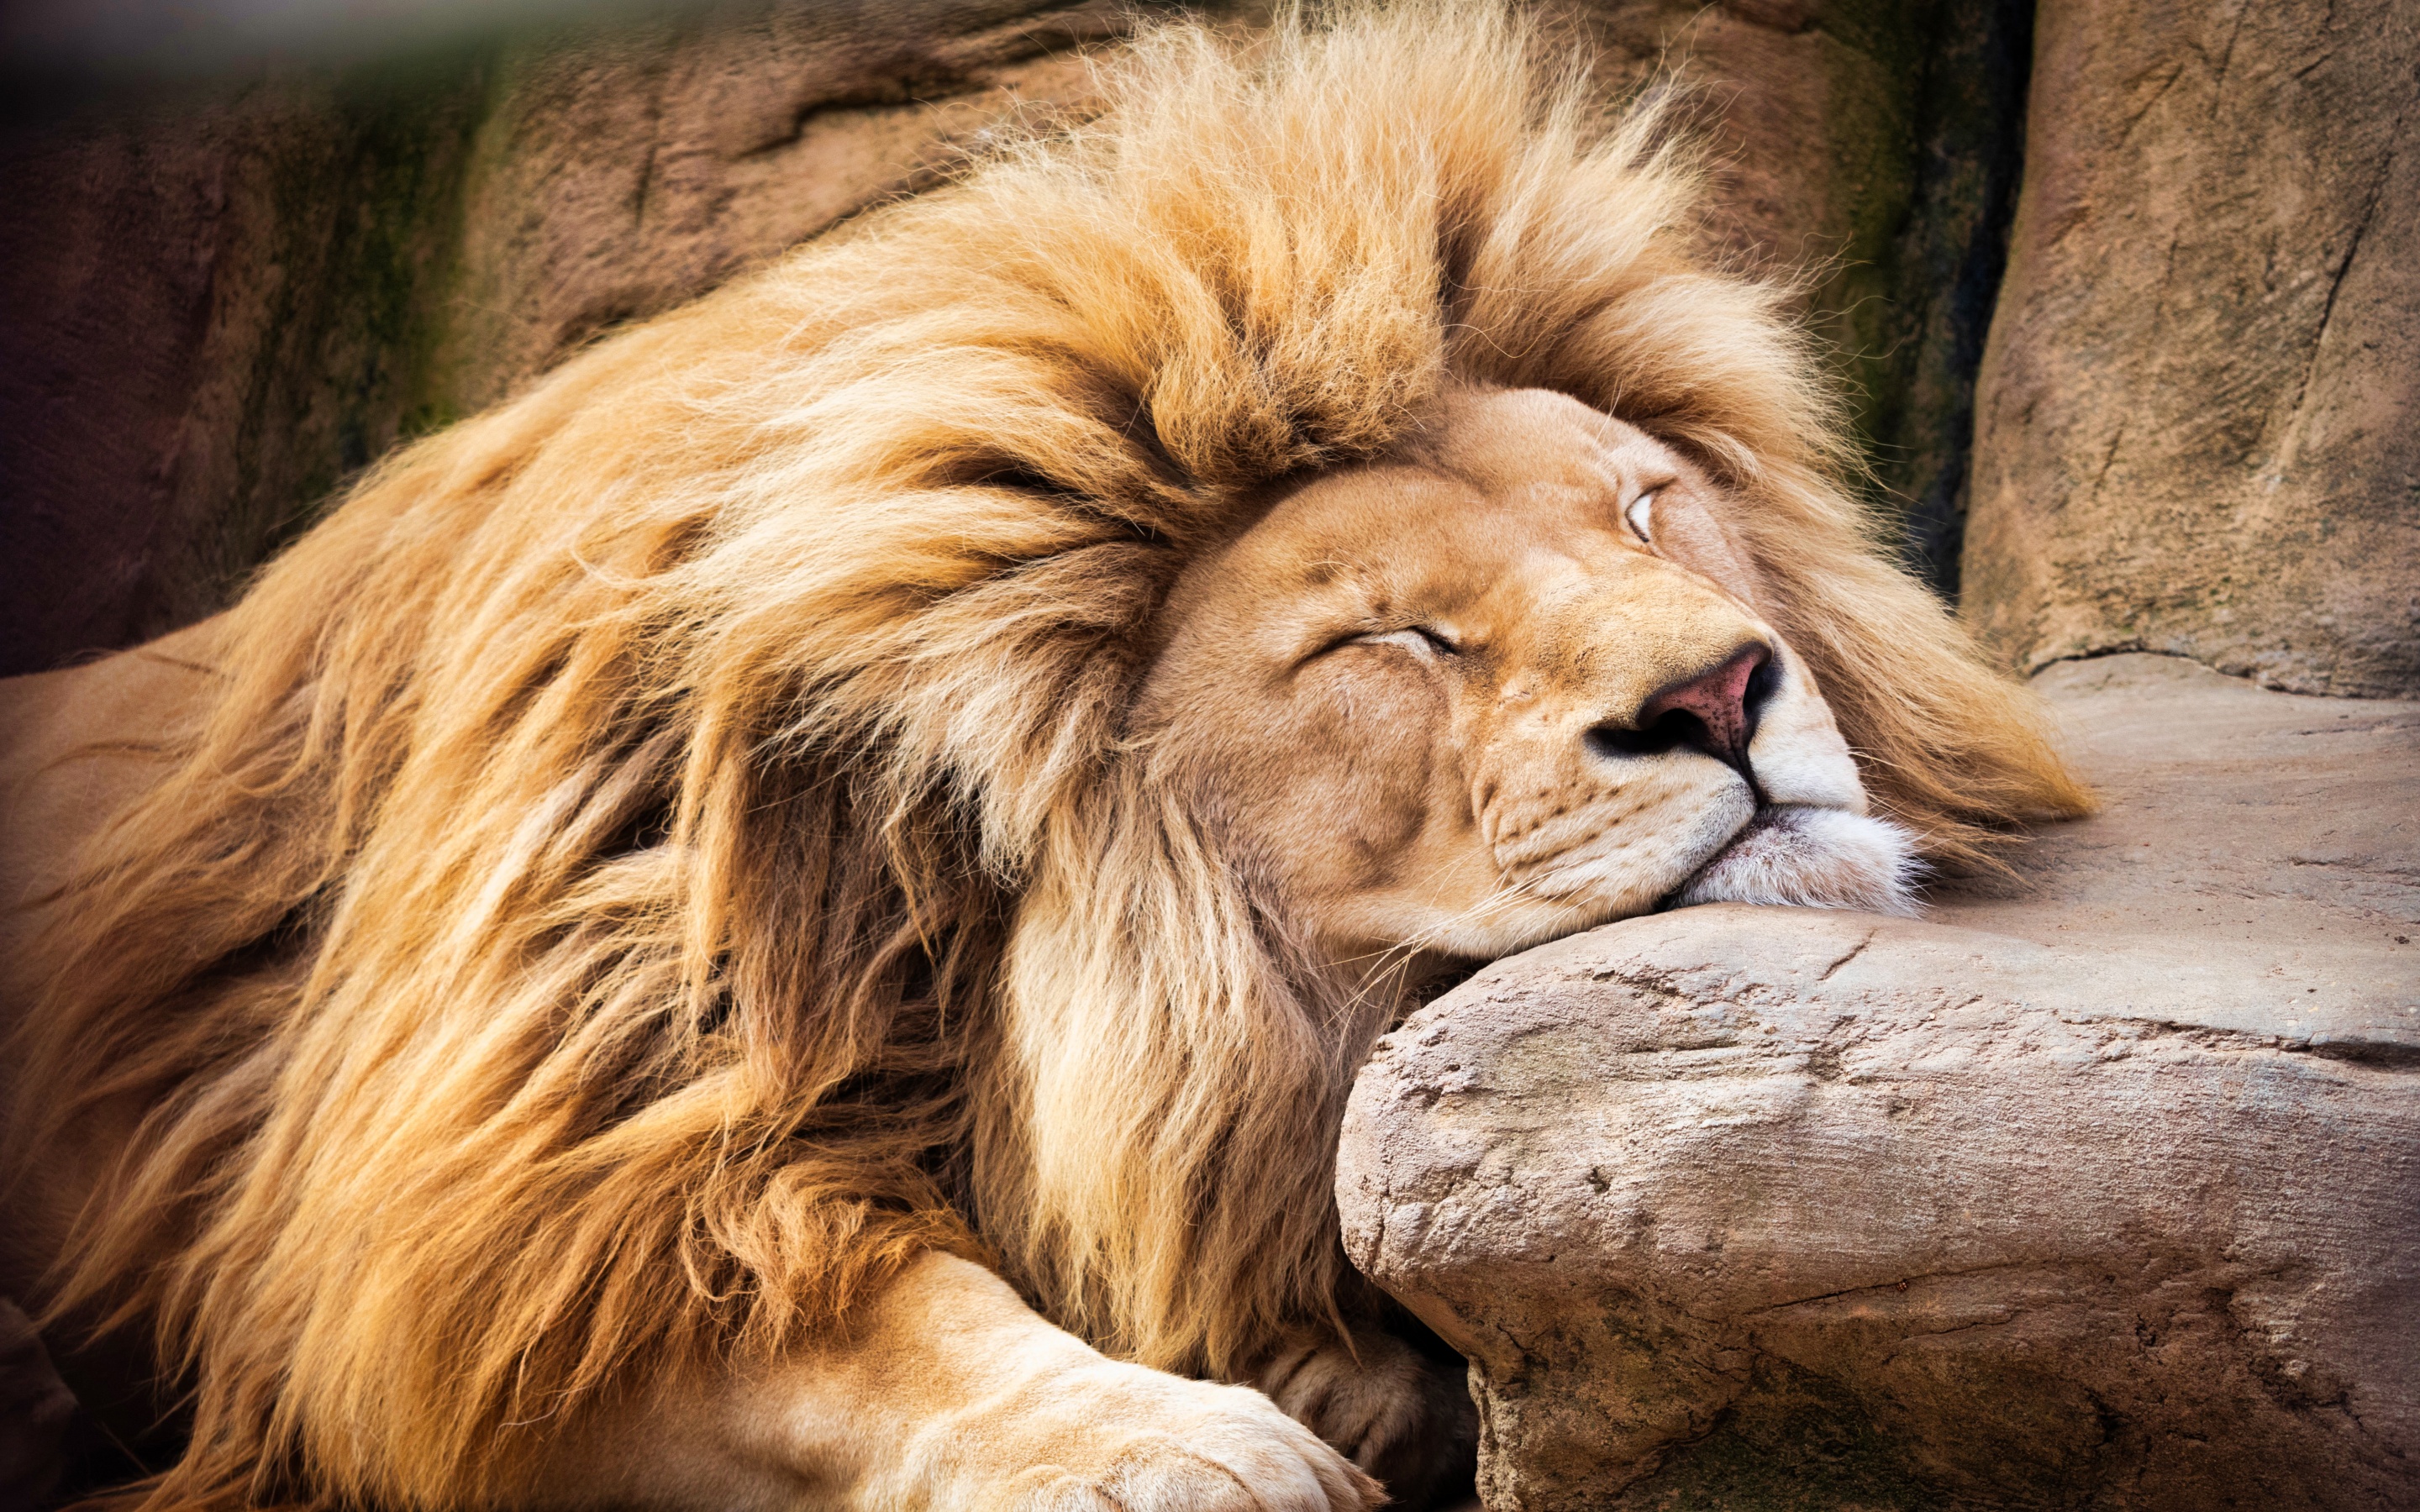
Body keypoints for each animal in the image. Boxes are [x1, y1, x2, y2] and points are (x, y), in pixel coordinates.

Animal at [0, 5, 2089, 1509]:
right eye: (1392, 638)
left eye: (1648, 510)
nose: (1725, 695)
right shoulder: (498, 1231)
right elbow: (875, 1335)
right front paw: (1181, 1442)